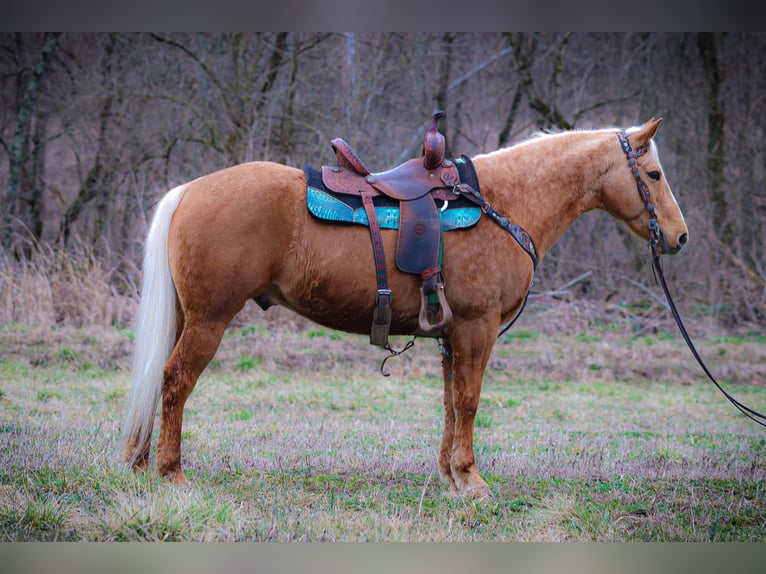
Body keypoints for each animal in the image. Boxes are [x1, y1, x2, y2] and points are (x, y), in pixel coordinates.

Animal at [121, 117, 688, 500]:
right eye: (654, 174)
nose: (679, 237)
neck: (504, 202)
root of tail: (190, 190)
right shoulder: (477, 330)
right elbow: (470, 402)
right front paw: (471, 479)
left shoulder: (452, 337)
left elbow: (451, 403)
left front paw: (450, 475)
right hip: (210, 320)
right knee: (175, 381)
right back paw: (171, 472)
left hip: (186, 318)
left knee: (160, 380)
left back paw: (141, 462)